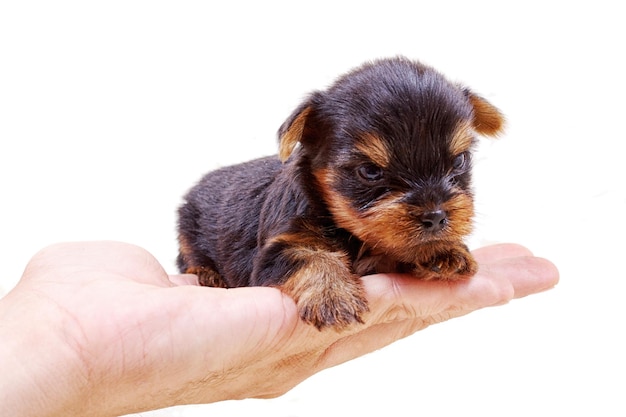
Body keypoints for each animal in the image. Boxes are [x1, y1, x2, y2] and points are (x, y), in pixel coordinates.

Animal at [176, 56, 502, 328]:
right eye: (369, 171)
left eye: (459, 161)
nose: (435, 217)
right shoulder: (276, 250)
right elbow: (310, 257)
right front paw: (332, 296)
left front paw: (442, 248)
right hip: (188, 223)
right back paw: (208, 274)